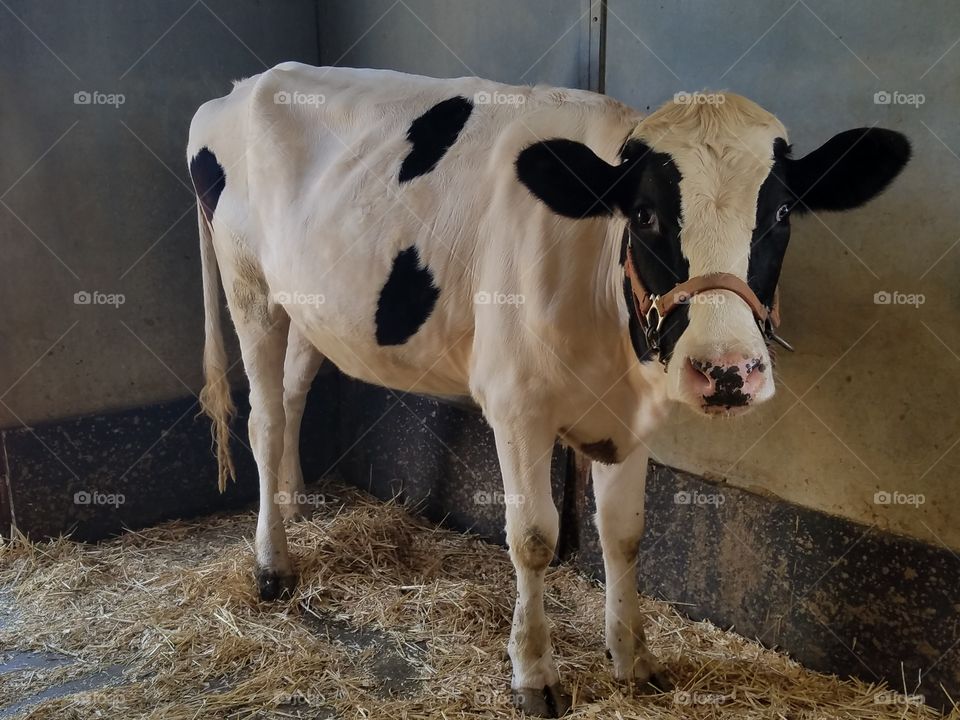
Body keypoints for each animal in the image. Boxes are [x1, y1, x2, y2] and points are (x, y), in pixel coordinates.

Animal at [186, 62, 908, 716]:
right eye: (644, 214)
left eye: (782, 212)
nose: (728, 370)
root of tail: (241, 86)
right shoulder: (516, 406)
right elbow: (533, 536)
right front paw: (533, 674)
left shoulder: (634, 417)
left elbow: (625, 533)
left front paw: (633, 657)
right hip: (249, 288)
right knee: (263, 420)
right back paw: (273, 564)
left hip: (313, 306)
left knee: (291, 396)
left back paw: (294, 501)